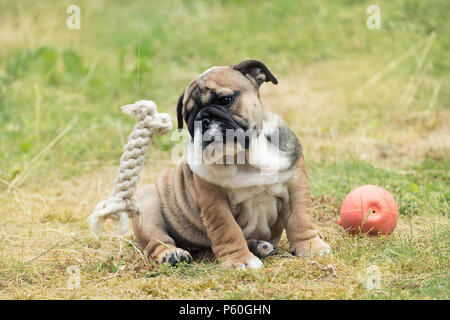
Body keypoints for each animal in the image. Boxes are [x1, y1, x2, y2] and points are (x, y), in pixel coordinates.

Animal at [132, 58, 328, 268]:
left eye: (225, 100)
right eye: (187, 116)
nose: (203, 119)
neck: (245, 157)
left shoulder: (296, 185)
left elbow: (301, 218)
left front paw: (310, 246)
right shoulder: (215, 203)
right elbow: (228, 230)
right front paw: (240, 260)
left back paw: (258, 246)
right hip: (148, 204)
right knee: (156, 241)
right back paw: (172, 254)